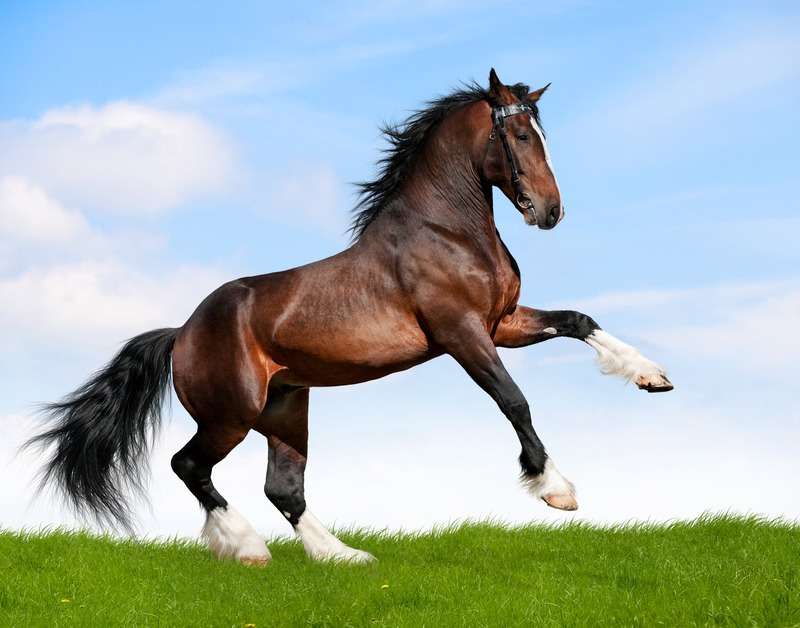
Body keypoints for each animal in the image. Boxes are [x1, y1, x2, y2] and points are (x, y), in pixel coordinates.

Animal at [28, 69, 672, 566]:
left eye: (542, 132)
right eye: (517, 133)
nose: (550, 211)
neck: (447, 231)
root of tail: (181, 334)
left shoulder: (503, 324)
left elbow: (579, 321)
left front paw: (652, 377)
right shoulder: (463, 334)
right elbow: (514, 401)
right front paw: (556, 490)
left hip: (286, 409)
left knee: (283, 489)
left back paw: (343, 556)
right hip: (231, 415)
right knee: (189, 466)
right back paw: (247, 548)